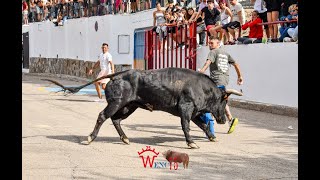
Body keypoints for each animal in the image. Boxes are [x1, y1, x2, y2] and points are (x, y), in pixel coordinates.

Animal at [43, 67, 242, 148]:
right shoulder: (186, 109)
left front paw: (212, 137)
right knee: (103, 116)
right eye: (224, 101)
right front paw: (191, 143)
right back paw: (90, 138)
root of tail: (117, 75)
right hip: (116, 103)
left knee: (115, 119)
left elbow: (203, 124)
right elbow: (186, 126)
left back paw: (125, 139)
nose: (223, 120)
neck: (202, 87)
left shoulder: (194, 112)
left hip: (129, 106)